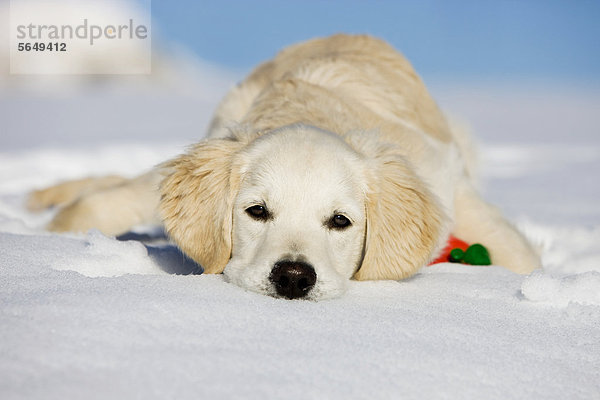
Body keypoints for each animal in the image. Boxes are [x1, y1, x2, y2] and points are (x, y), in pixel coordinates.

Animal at [29, 35, 544, 300]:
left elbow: (520, 257)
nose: (294, 278)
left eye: (341, 221)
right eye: (257, 211)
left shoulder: (449, 185)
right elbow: (99, 205)